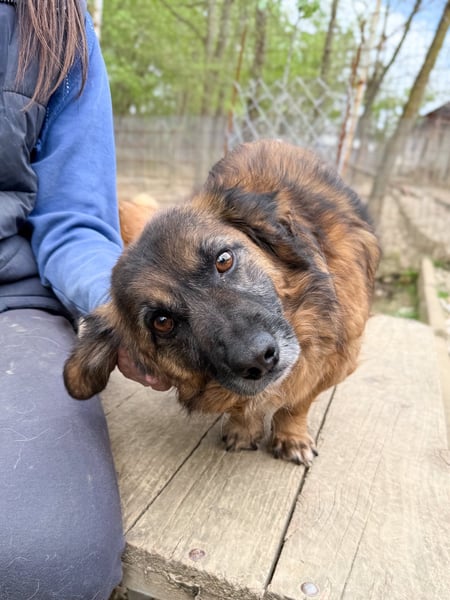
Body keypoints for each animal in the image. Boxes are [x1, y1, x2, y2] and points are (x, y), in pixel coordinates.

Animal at [64, 139, 380, 466]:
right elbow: (242, 404)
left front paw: (291, 435)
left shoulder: (335, 360)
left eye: (224, 260)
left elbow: (298, 402)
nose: (258, 359)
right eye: (162, 322)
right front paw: (244, 427)